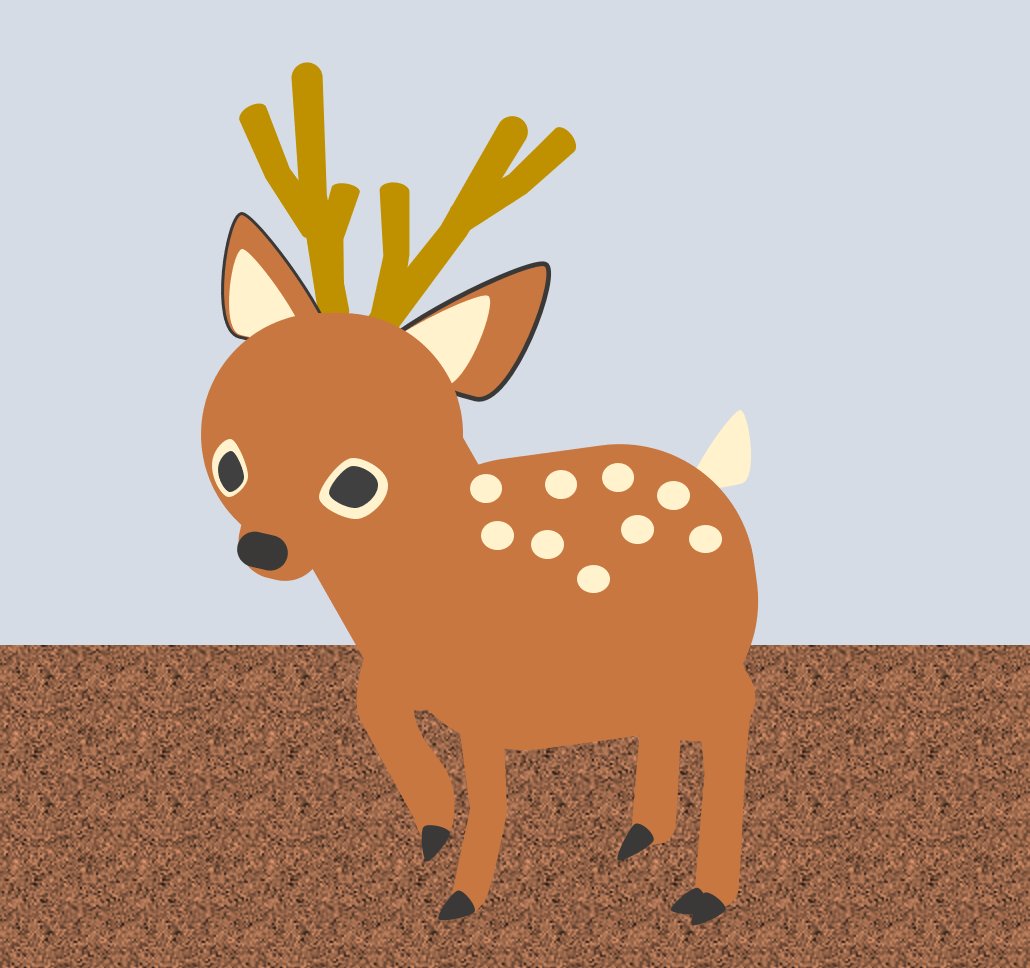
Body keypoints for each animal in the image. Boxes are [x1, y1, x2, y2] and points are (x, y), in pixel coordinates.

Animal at [201, 63, 757, 925]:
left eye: (356, 484)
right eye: (230, 465)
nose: (263, 546)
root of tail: (713, 477)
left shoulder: (490, 700)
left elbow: (493, 796)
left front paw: (461, 898)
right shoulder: (400, 675)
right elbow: (373, 707)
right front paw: (431, 827)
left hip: (711, 653)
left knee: (733, 717)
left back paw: (702, 894)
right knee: (666, 721)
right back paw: (639, 835)